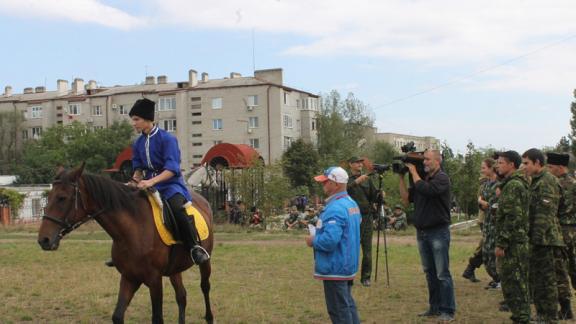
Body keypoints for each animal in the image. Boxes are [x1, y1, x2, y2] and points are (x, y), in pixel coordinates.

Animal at [37, 165, 215, 324]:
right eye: (49, 197)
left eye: (62, 198)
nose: (43, 240)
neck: (133, 228)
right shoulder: (129, 277)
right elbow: (117, 316)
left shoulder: (154, 280)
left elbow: (157, 318)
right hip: (174, 270)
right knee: (181, 296)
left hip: (205, 262)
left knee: (205, 287)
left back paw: (209, 317)